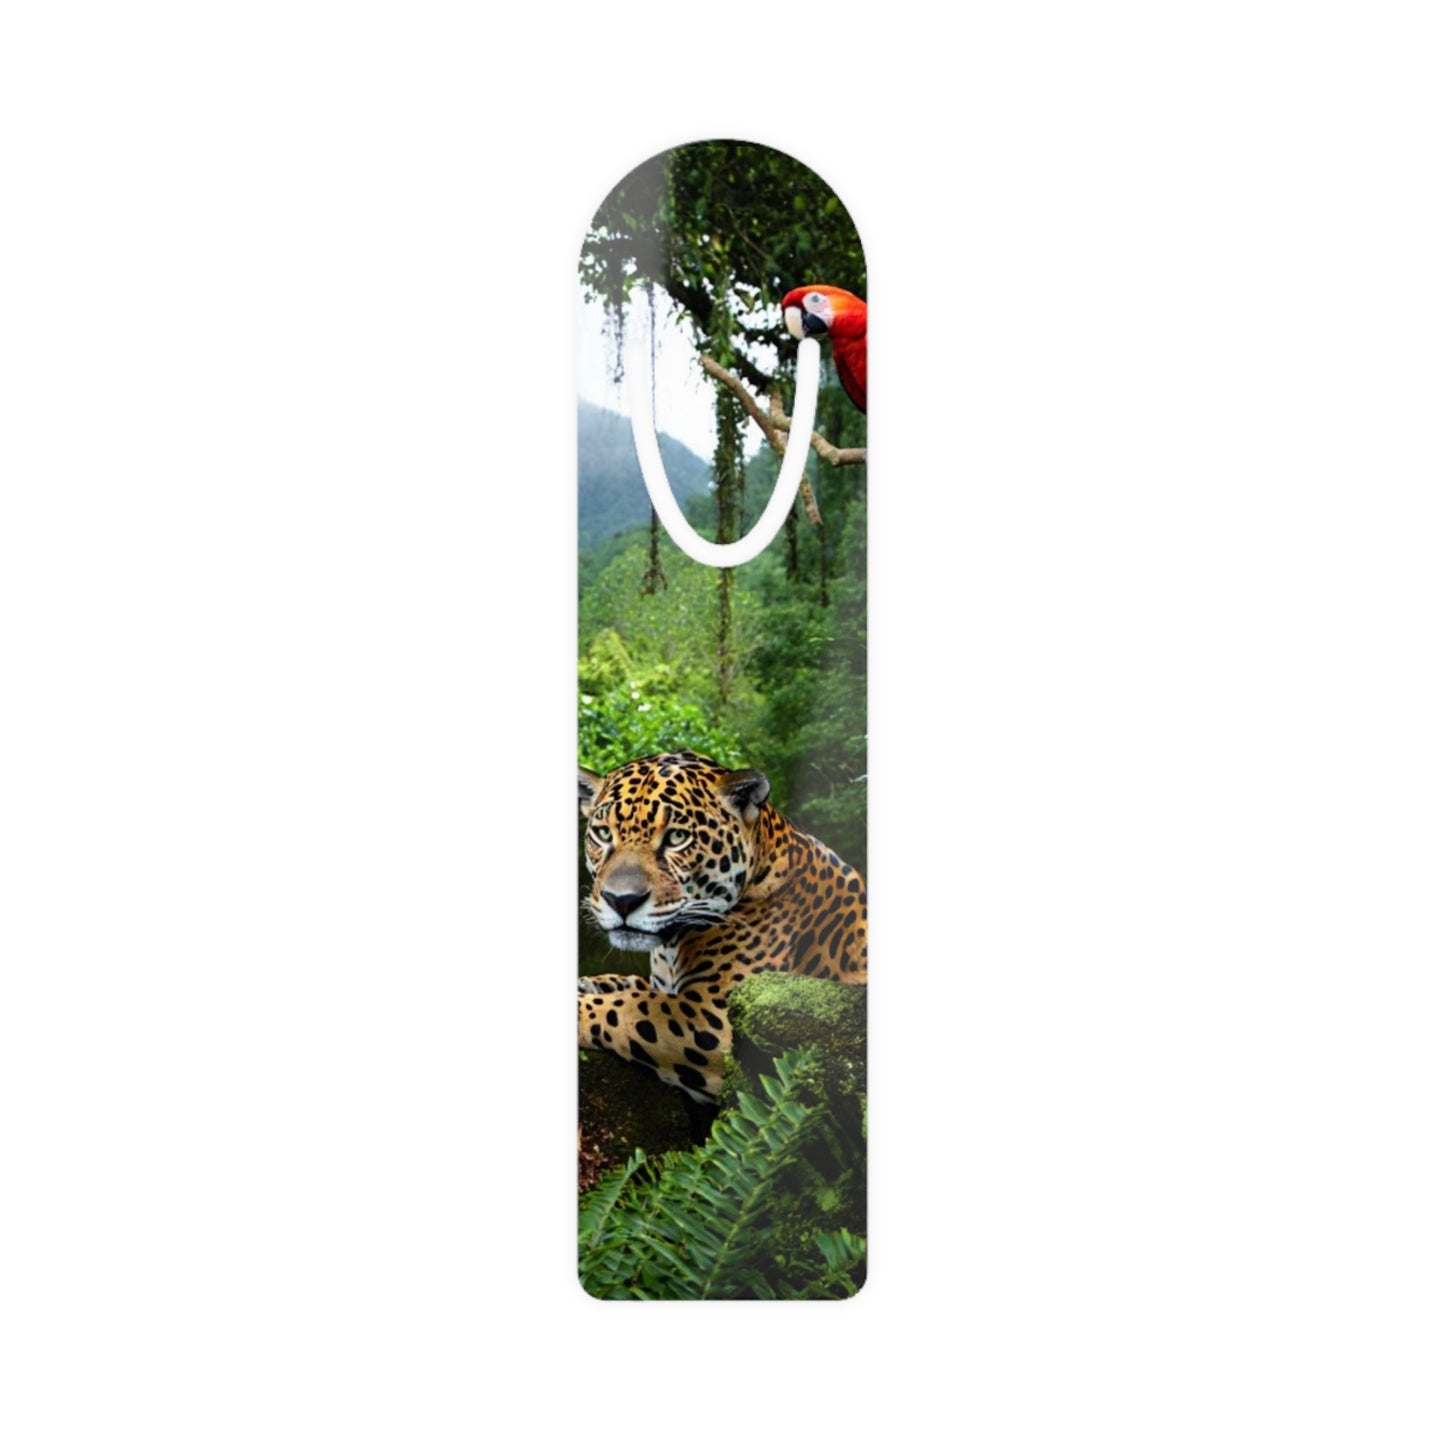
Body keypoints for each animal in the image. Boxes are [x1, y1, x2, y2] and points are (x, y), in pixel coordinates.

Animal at [578, 750, 866, 1102]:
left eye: (677, 837)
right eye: (603, 834)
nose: (621, 901)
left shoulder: (720, 1017)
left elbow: (628, 1007)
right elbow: (631, 986)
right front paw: (589, 983)